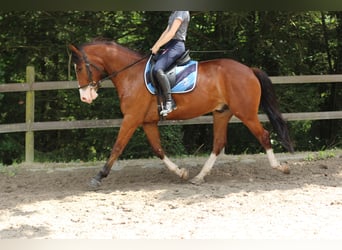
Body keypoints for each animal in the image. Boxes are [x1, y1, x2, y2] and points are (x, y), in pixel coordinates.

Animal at [69, 41, 294, 187]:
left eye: (79, 68)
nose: (85, 97)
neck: (130, 75)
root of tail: (248, 69)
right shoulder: (147, 122)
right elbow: (158, 149)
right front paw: (181, 172)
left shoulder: (131, 119)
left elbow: (117, 147)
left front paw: (99, 176)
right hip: (221, 113)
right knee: (218, 143)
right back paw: (199, 177)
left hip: (245, 113)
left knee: (263, 135)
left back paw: (280, 167)